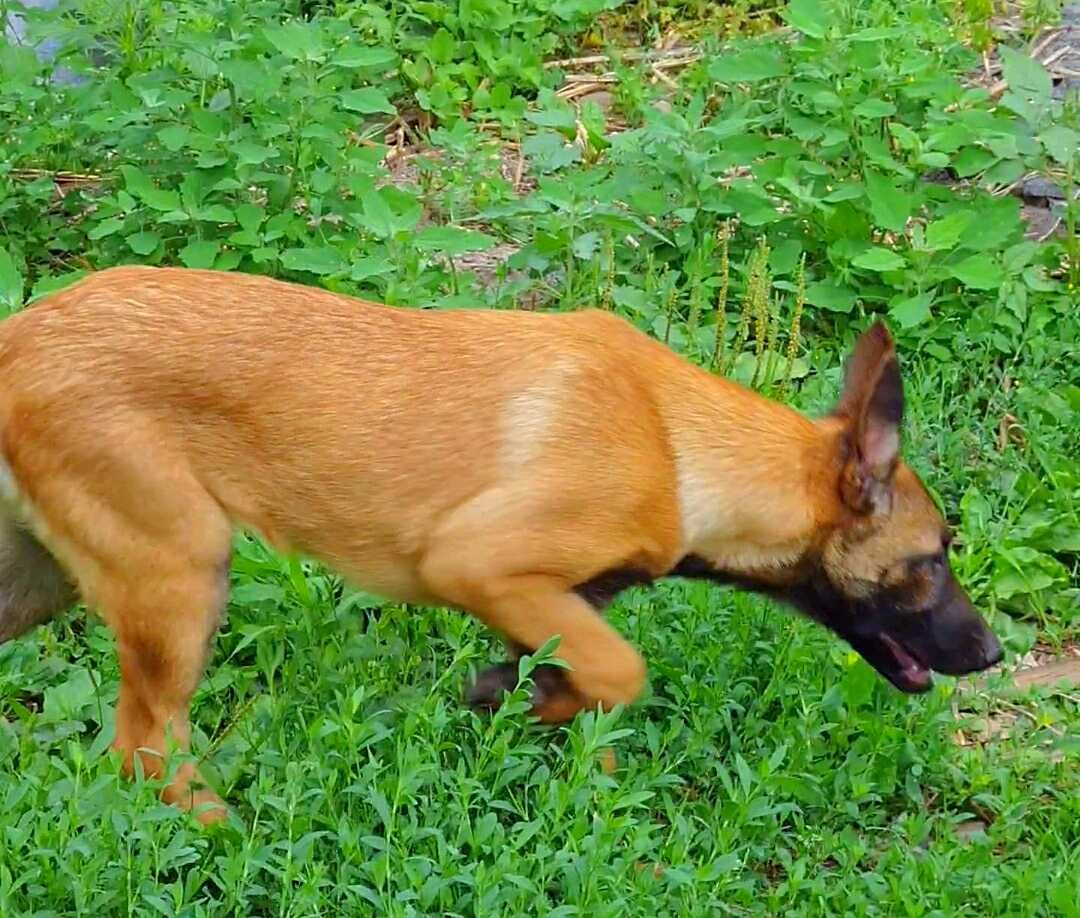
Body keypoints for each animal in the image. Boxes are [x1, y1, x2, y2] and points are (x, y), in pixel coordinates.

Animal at [0, 262, 1002, 816]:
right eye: (934, 557)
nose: (993, 653)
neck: (679, 446)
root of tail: (19, 336)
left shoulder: (556, 602)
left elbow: (585, 685)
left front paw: (527, 708)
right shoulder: (478, 563)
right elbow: (624, 671)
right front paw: (521, 706)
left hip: (42, 580)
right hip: (181, 575)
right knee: (144, 747)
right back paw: (222, 832)